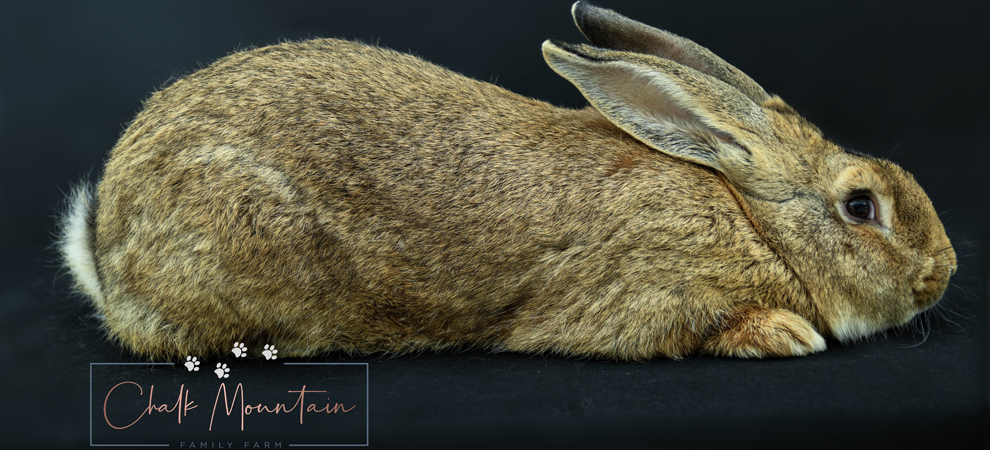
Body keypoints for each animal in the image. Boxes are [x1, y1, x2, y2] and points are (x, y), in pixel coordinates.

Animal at [58, 2, 956, 360]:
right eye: (861, 205)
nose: (942, 274)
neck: (757, 222)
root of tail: (107, 255)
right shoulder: (654, 292)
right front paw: (786, 334)